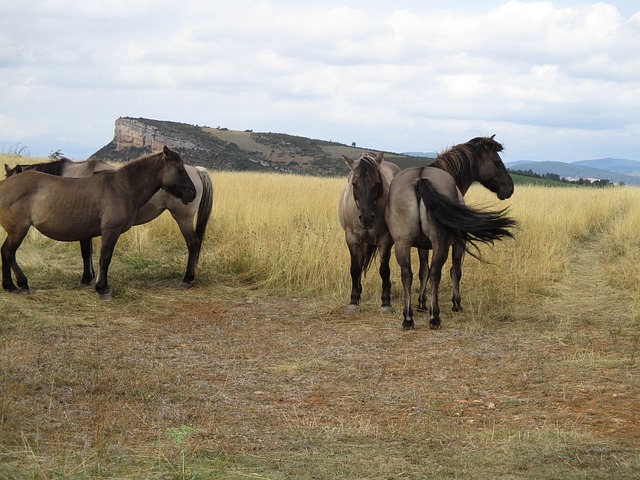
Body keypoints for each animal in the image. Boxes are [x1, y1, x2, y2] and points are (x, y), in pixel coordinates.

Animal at [0, 145, 198, 300]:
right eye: (180, 171)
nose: (192, 193)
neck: (122, 187)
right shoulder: (110, 231)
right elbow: (104, 258)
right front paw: (102, 288)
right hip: (18, 230)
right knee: (9, 252)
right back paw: (22, 283)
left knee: (5, 251)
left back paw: (10, 286)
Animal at [338, 152, 398, 314]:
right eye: (354, 183)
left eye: (377, 183)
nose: (366, 219)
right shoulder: (352, 239)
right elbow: (355, 269)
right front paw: (353, 301)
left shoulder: (385, 239)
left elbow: (384, 270)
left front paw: (386, 303)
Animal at [384, 135, 516, 330]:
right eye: (497, 162)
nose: (510, 188)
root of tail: (420, 179)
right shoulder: (458, 244)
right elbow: (455, 271)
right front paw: (456, 303)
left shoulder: (422, 246)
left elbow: (422, 271)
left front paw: (421, 303)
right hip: (440, 245)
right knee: (436, 274)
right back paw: (435, 317)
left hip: (402, 244)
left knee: (407, 275)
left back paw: (408, 318)